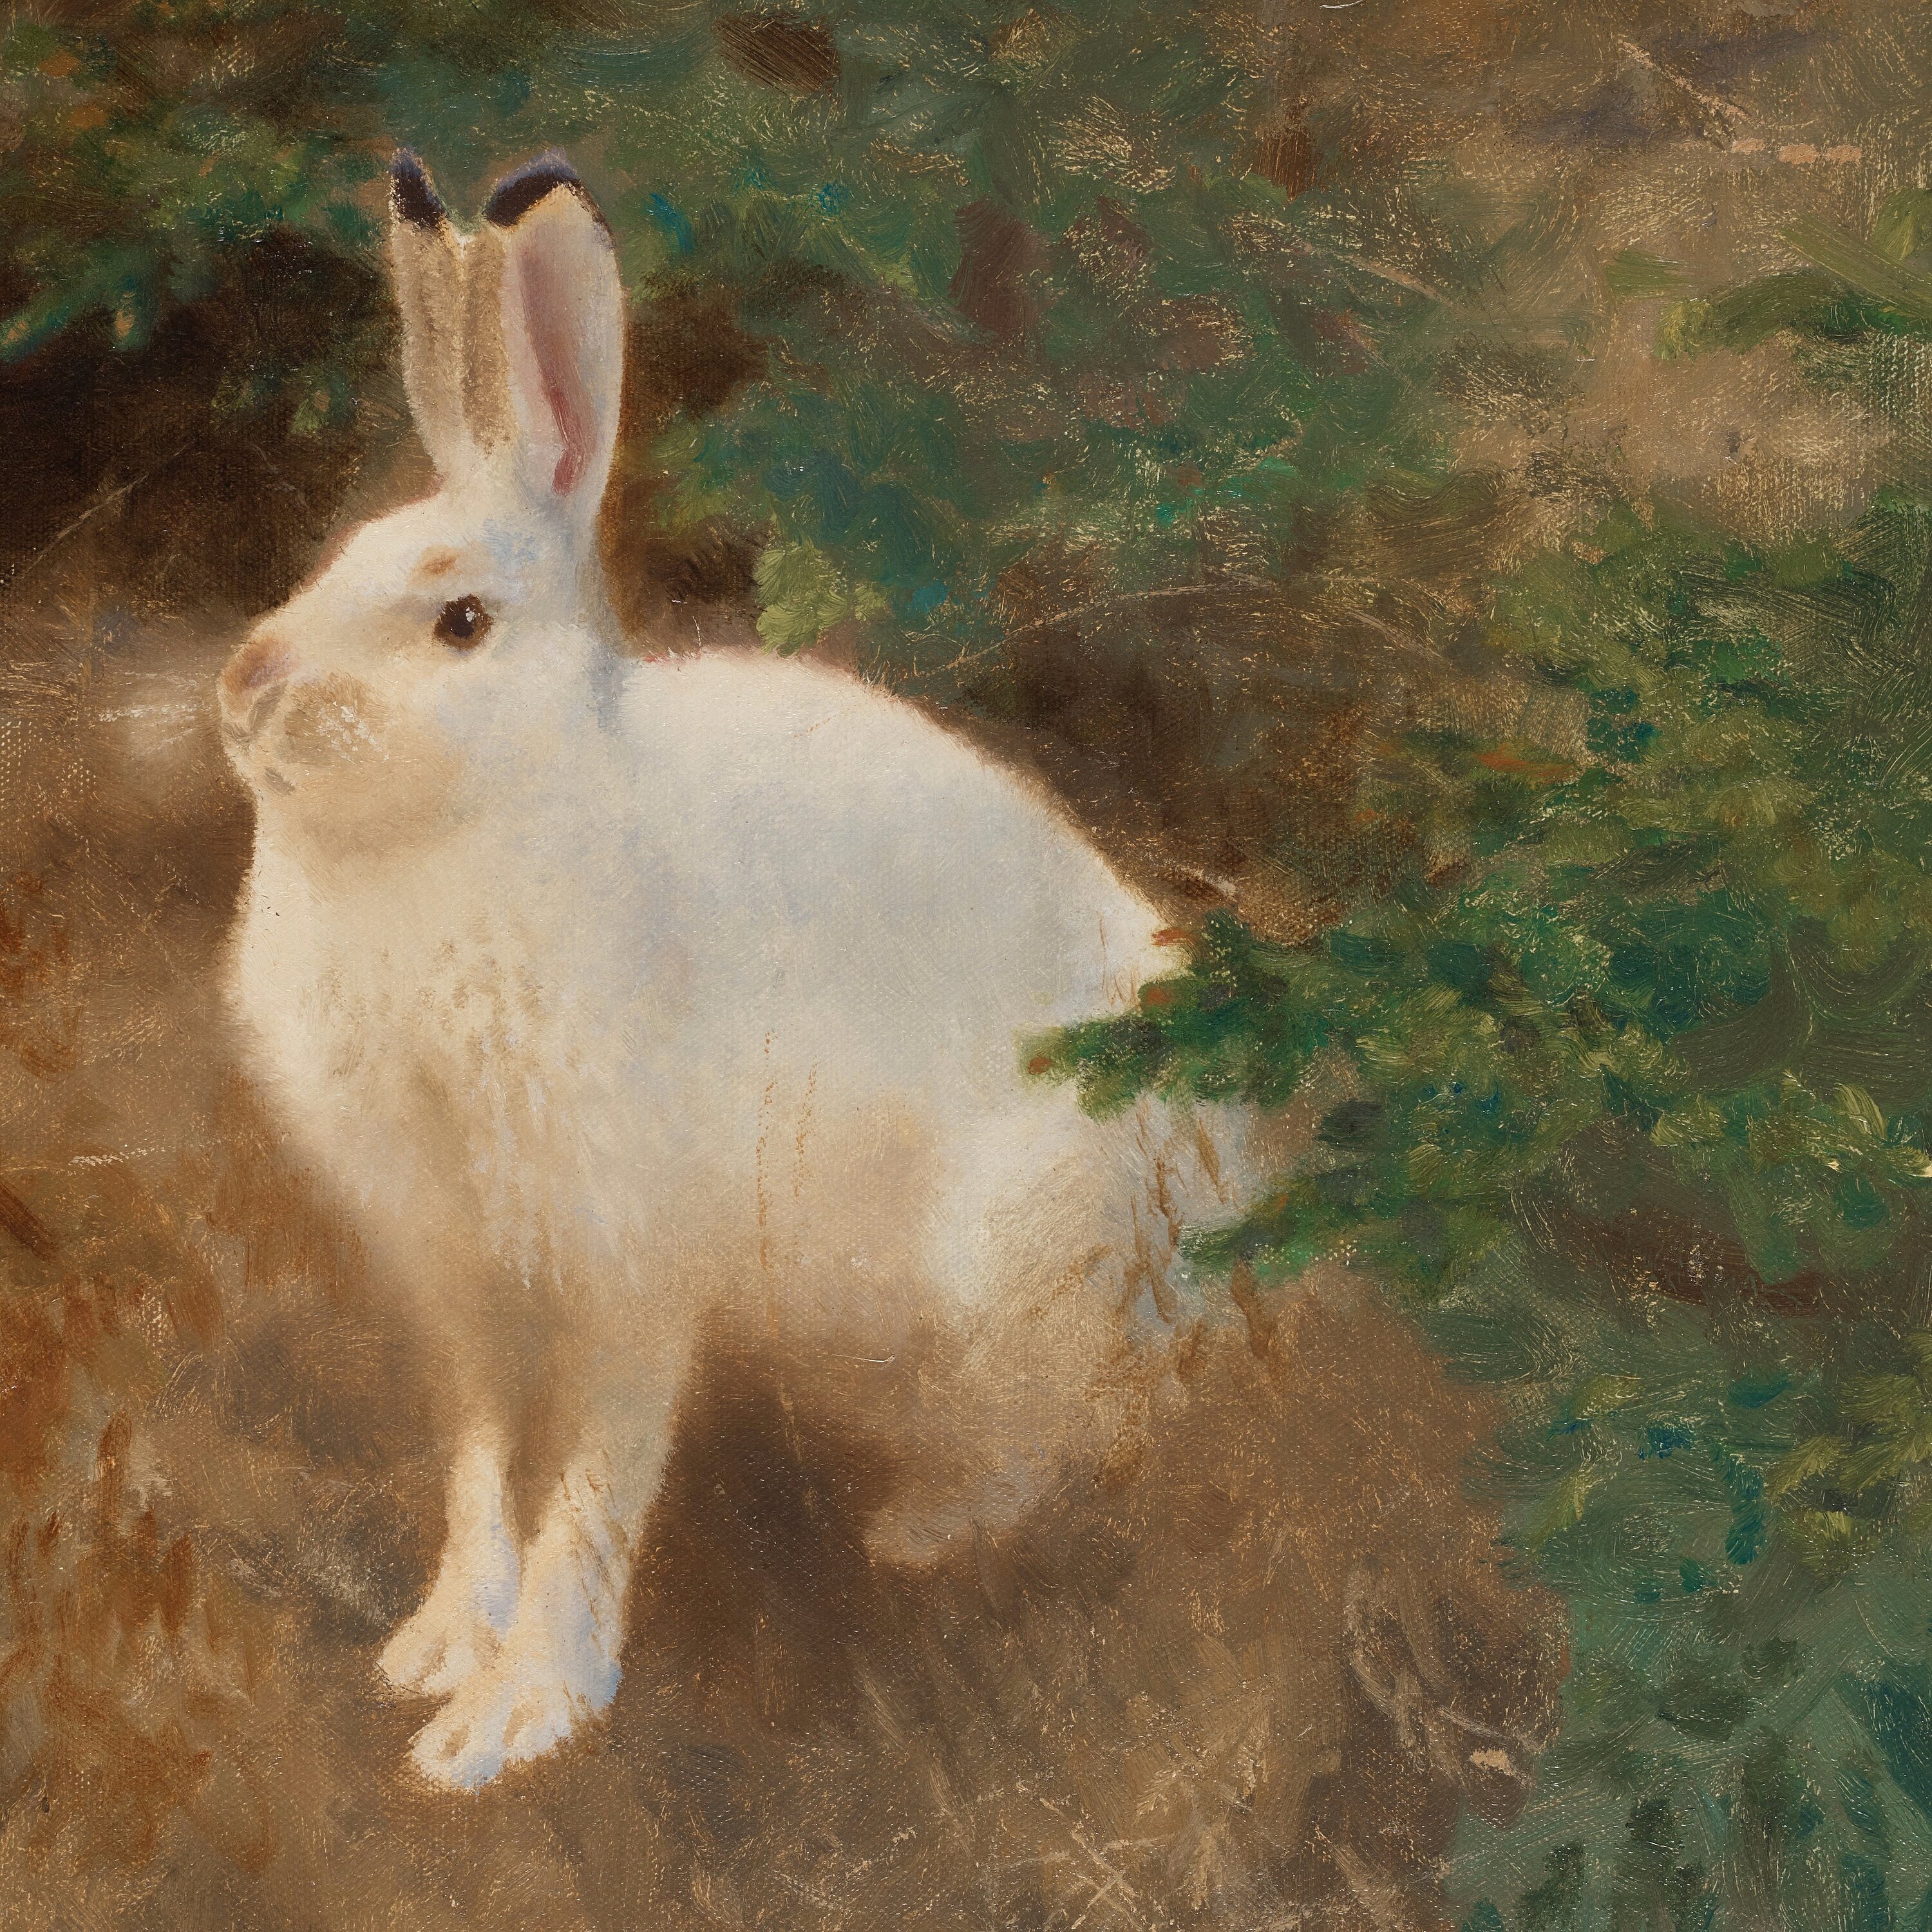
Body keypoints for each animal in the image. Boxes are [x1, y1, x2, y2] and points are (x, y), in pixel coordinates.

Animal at [217, 149, 1261, 1793]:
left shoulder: (630, 1265)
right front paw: (439, 1642)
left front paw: (515, 1714)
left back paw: (925, 1526)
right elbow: (479, 1461)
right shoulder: (459, 1280)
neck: (465, 832)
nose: (242, 689)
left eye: (461, 620)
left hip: (1009, 1252)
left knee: (1079, 1429)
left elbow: (589, 1485)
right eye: (329, 562)